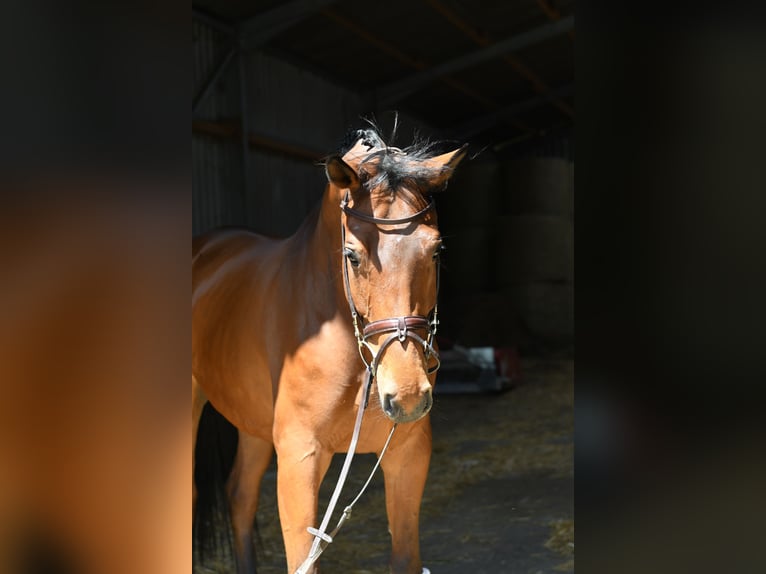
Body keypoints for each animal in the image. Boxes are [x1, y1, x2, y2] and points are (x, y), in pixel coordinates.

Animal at [192, 127, 466, 574]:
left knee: (240, 497)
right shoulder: (299, 459)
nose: (407, 395)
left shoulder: (407, 455)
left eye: (437, 250)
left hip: (253, 425)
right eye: (351, 255)